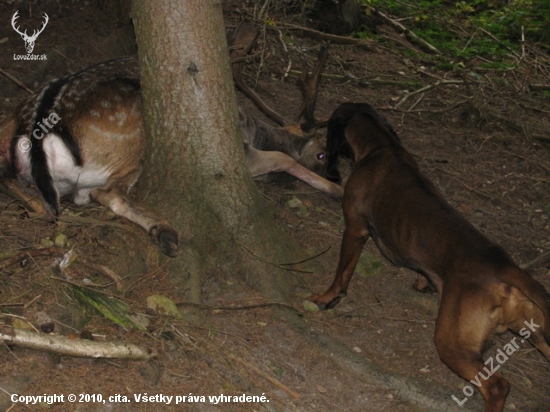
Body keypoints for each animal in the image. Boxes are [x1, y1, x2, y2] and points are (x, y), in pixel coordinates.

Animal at [310, 102, 550, 412]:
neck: (383, 147)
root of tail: (505, 267)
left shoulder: (355, 229)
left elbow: (342, 272)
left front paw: (328, 297)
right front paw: (421, 283)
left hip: (452, 344)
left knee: (497, 387)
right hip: (535, 332)